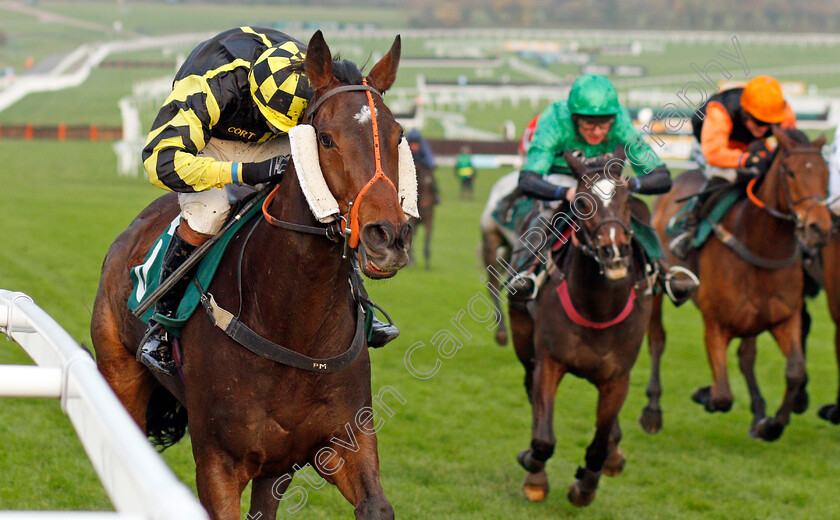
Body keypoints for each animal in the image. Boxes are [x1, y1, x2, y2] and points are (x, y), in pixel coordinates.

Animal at [90, 33, 412, 520]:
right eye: (326, 139)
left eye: (398, 136)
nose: (387, 236)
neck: (293, 324)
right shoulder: (218, 464)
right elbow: (164, 154)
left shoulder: (337, 444)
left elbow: (376, 505)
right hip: (119, 378)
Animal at [508, 149, 652, 508]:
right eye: (583, 203)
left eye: (627, 200)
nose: (614, 252)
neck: (598, 308)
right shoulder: (550, 360)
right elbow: (543, 439)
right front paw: (533, 468)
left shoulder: (618, 377)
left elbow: (599, 444)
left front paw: (585, 486)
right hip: (522, 337)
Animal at [640, 128, 832, 440]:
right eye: (790, 172)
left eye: (826, 172)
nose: (820, 228)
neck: (761, 244)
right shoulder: (715, 324)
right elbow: (722, 396)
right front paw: (704, 394)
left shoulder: (784, 318)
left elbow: (794, 371)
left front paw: (771, 423)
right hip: (659, 285)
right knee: (657, 340)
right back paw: (652, 410)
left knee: (747, 356)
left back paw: (758, 412)